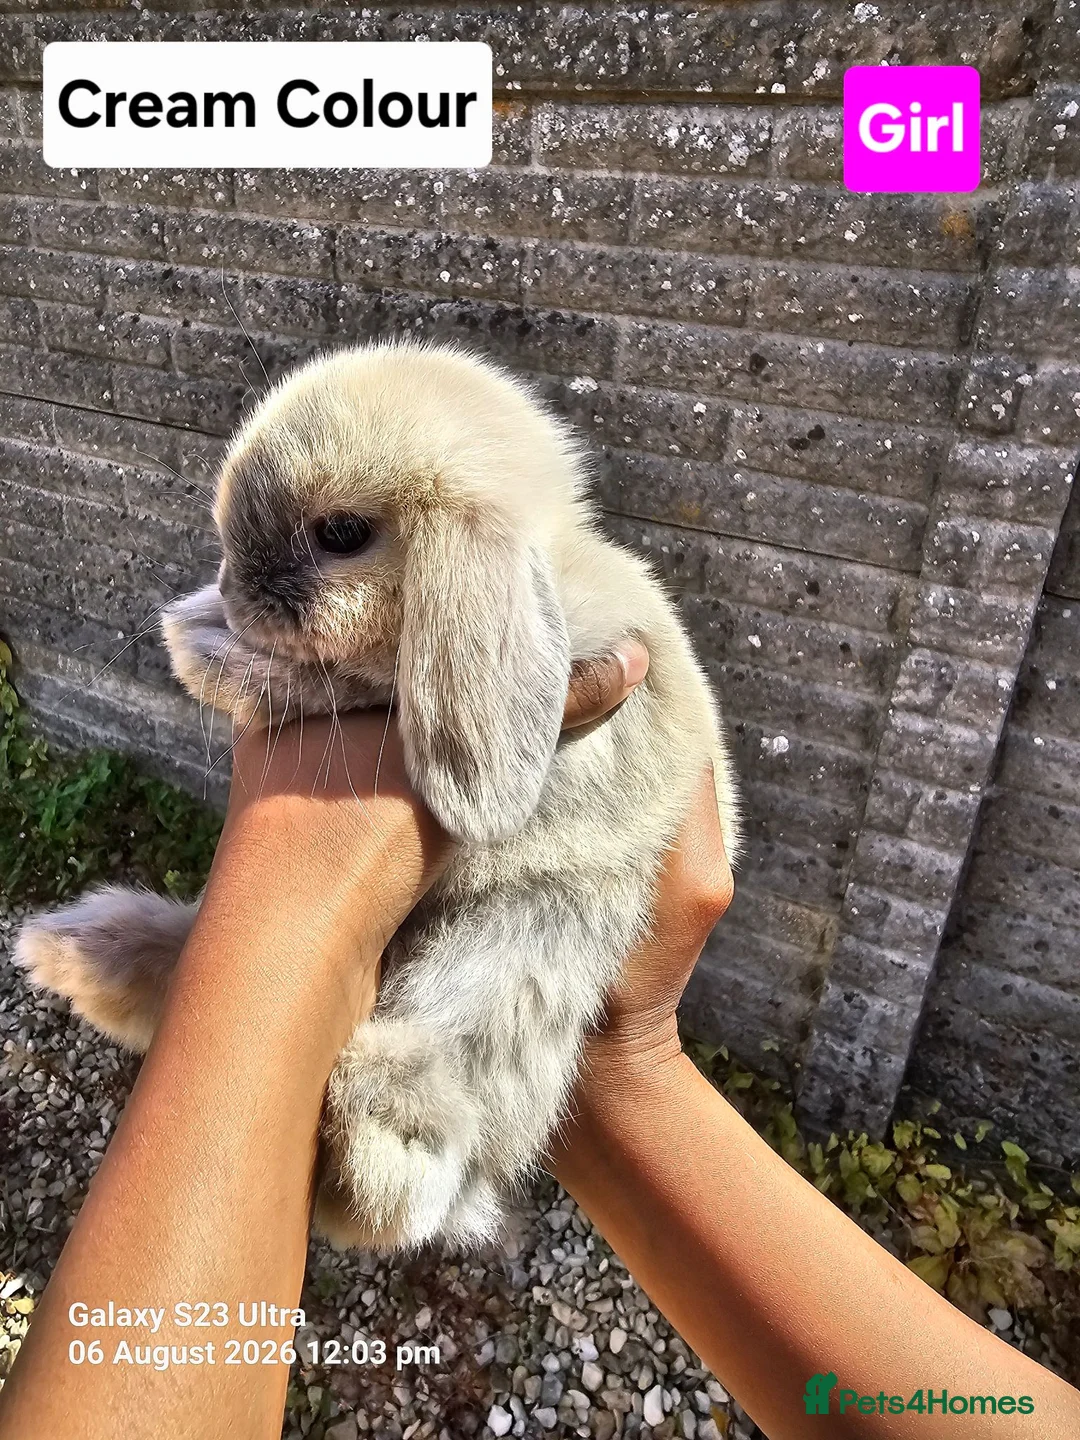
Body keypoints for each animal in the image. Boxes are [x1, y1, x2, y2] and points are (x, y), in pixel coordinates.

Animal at [16, 340, 741, 1251]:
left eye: (342, 534)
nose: (237, 591)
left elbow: (336, 680)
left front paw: (206, 649)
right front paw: (202, 628)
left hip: (534, 929)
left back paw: (378, 1155)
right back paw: (80, 953)